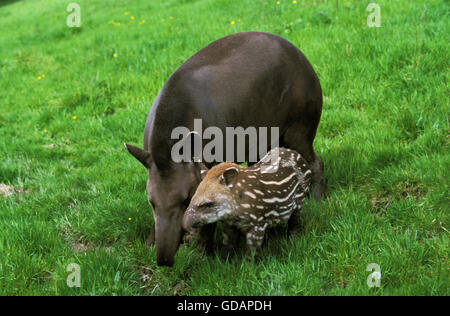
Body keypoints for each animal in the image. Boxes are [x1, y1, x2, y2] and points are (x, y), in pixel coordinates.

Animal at [181, 147, 312, 260]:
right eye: (192, 198)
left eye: (208, 204)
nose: (185, 224)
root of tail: (299, 156)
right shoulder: (229, 224)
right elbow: (228, 245)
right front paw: (224, 262)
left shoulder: (258, 224)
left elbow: (252, 250)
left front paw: (250, 267)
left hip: (300, 201)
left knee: (295, 222)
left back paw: (292, 240)